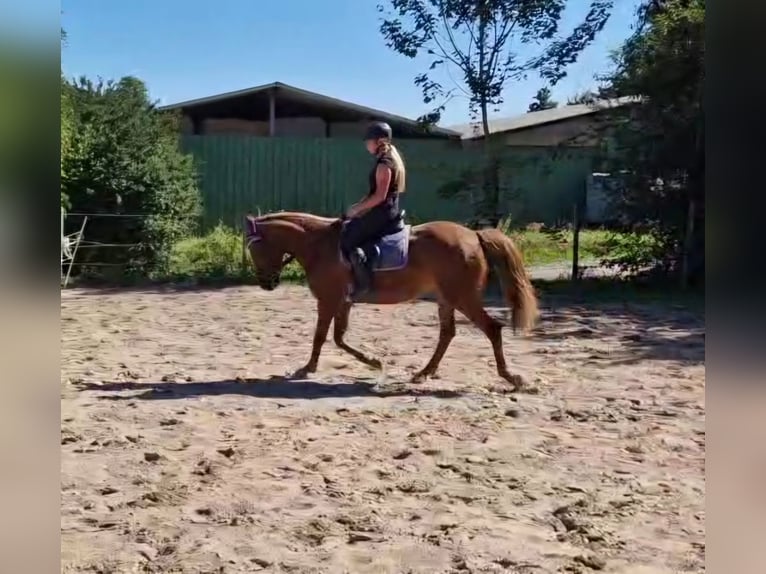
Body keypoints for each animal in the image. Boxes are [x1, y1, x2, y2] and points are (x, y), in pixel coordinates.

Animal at [243, 211, 539, 391]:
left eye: (255, 248)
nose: (266, 283)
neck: (318, 245)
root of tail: (474, 235)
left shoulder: (328, 301)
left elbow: (321, 337)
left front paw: (307, 369)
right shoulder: (343, 302)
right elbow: (339, 337)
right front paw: (374, 361)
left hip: (462, 297)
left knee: (492, 329)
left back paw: (511, 378)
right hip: (446, 298)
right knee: (447, 334)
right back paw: (424, 373)